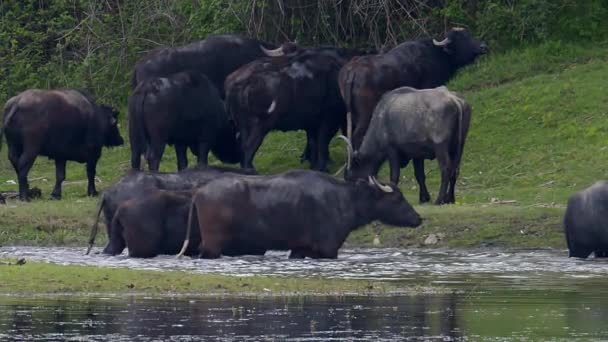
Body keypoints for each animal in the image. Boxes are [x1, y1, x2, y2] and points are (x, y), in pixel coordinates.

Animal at [178, 171, 420, 260]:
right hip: (213, 244)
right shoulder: (328, 249)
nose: (418, 218)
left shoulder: (300, 249)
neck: (345, 200)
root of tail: (199, 191)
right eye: (398, 198)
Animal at [224, 45, 364, 172]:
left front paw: (313, 165)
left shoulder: (311, 122)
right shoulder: (329, 118)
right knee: (249, 146)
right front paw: (322, 167)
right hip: (259, 125)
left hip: (242, 125)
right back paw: (250, 170)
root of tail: (236, 82)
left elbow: (313, 143)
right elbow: (322, 142)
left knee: (243, 146)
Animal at [340, 26, 486, 150]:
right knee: (357, 136)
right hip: (365, 113)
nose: (483, 46)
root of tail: (352, 70)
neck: (438, 54)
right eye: (462, 38)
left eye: (469, 35)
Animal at [342, 87, 470, 206]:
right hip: (459, 146)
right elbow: (419, 175)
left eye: (350, 177)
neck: (381, 118)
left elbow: (394, 176)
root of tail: (455, 100)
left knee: (446, 168)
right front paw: (424, 198)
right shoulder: (418, 155)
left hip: (441, 148)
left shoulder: (392, 151)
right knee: (455, 170)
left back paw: (439, 200)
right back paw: (450, 199)